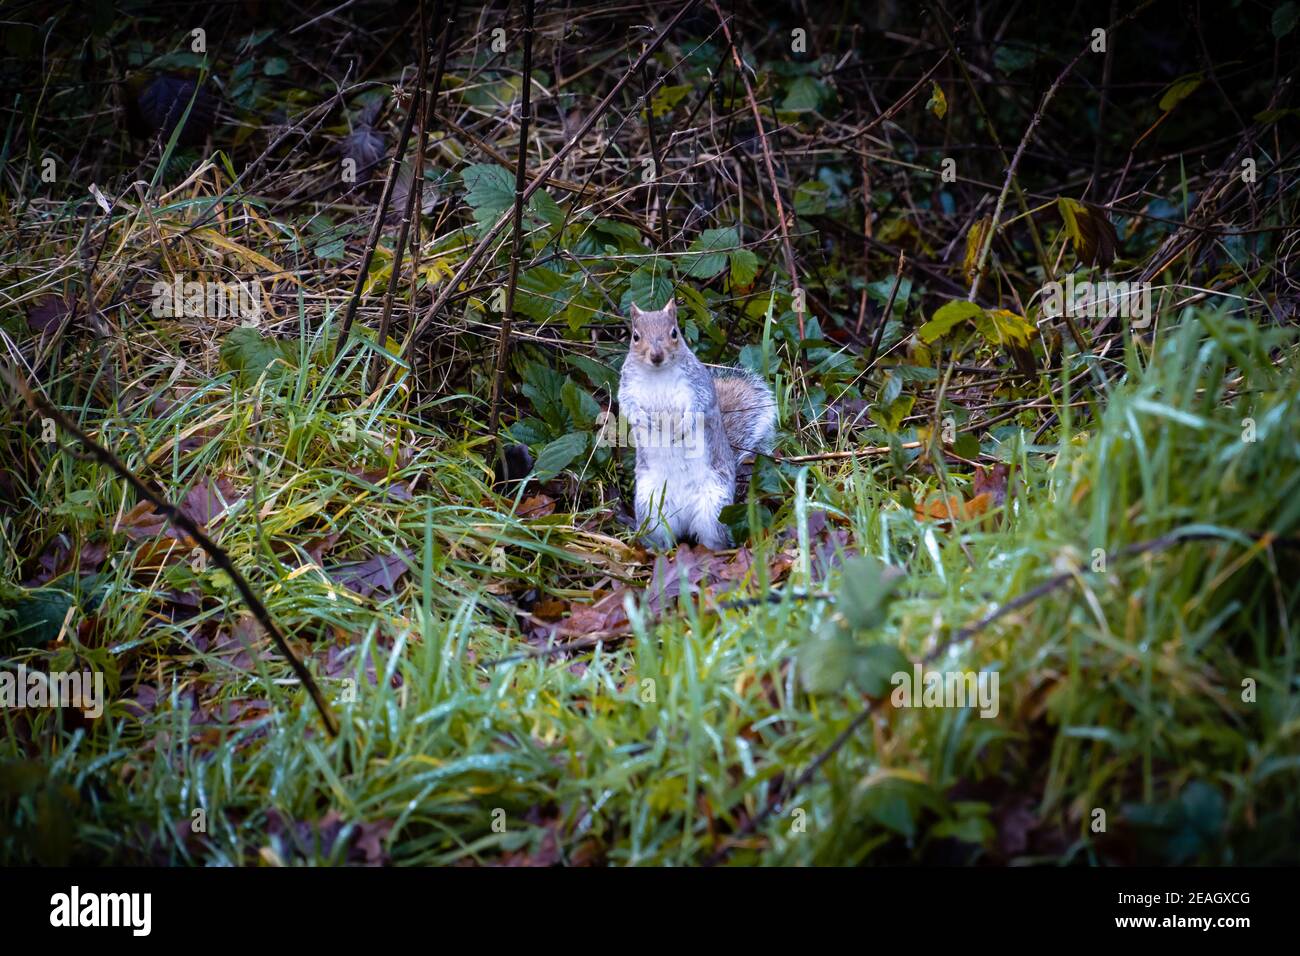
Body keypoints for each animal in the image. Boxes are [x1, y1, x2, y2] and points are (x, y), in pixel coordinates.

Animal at [618, 298, 777, 550]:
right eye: (635, 336)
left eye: (674, 333)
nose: (656, 355)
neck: (657, 373)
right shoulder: (627, 388)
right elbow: (628, 406)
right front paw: (647, 422)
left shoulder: (699, 386)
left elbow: (698, 407)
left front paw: (681, 428)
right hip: (651, 508)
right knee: (660, 537)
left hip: (714, 508)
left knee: (713, 538)